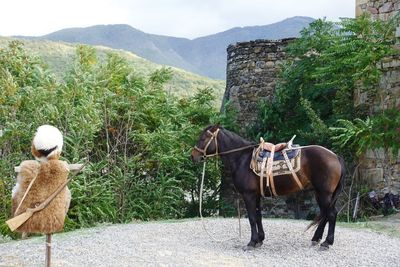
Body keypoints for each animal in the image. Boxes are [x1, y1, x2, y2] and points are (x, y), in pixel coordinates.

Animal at [191, 125, 344, 251]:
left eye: (203, 138)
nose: (193, 156)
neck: (242, 158)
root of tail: (335, 156)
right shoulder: (256, 195)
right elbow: (258, 216)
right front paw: (260, 240)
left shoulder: (248, 195)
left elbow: (252, 218)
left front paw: (251, 242)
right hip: (320, 193)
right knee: (325, 214)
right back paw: (316, 239)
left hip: (324, 193)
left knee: (331, 214)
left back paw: (327, 243)